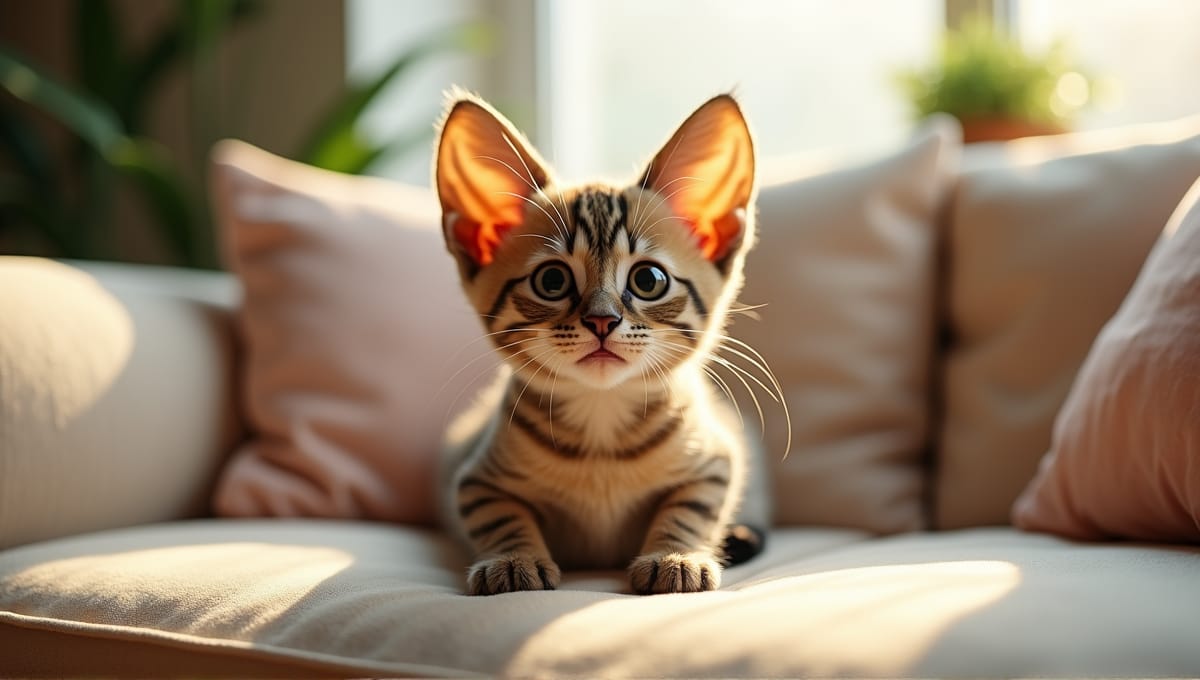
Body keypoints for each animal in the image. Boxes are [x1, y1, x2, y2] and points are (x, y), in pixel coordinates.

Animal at [439, 91, 768, 594]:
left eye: (648, 280)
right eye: (552, 280)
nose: (602, 320)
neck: (601, 425)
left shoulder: (717, 460)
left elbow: (693, 508)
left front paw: (676, 555)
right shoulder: (474, 480)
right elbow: (498, 516)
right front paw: (513, 560)